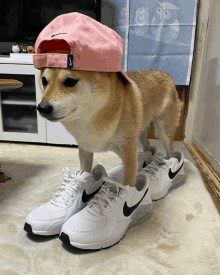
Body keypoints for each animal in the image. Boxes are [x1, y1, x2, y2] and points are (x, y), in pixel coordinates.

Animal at [36, 67, 182, 188]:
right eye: (44, 81)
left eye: (70, 81)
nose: (42, 108)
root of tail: (167, 74)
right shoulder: (85, 150)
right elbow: (84, 171)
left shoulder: (128, 151)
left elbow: (128, 182)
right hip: (140, 133)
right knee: (147, 145)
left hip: (163, 133)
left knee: (171, 152)